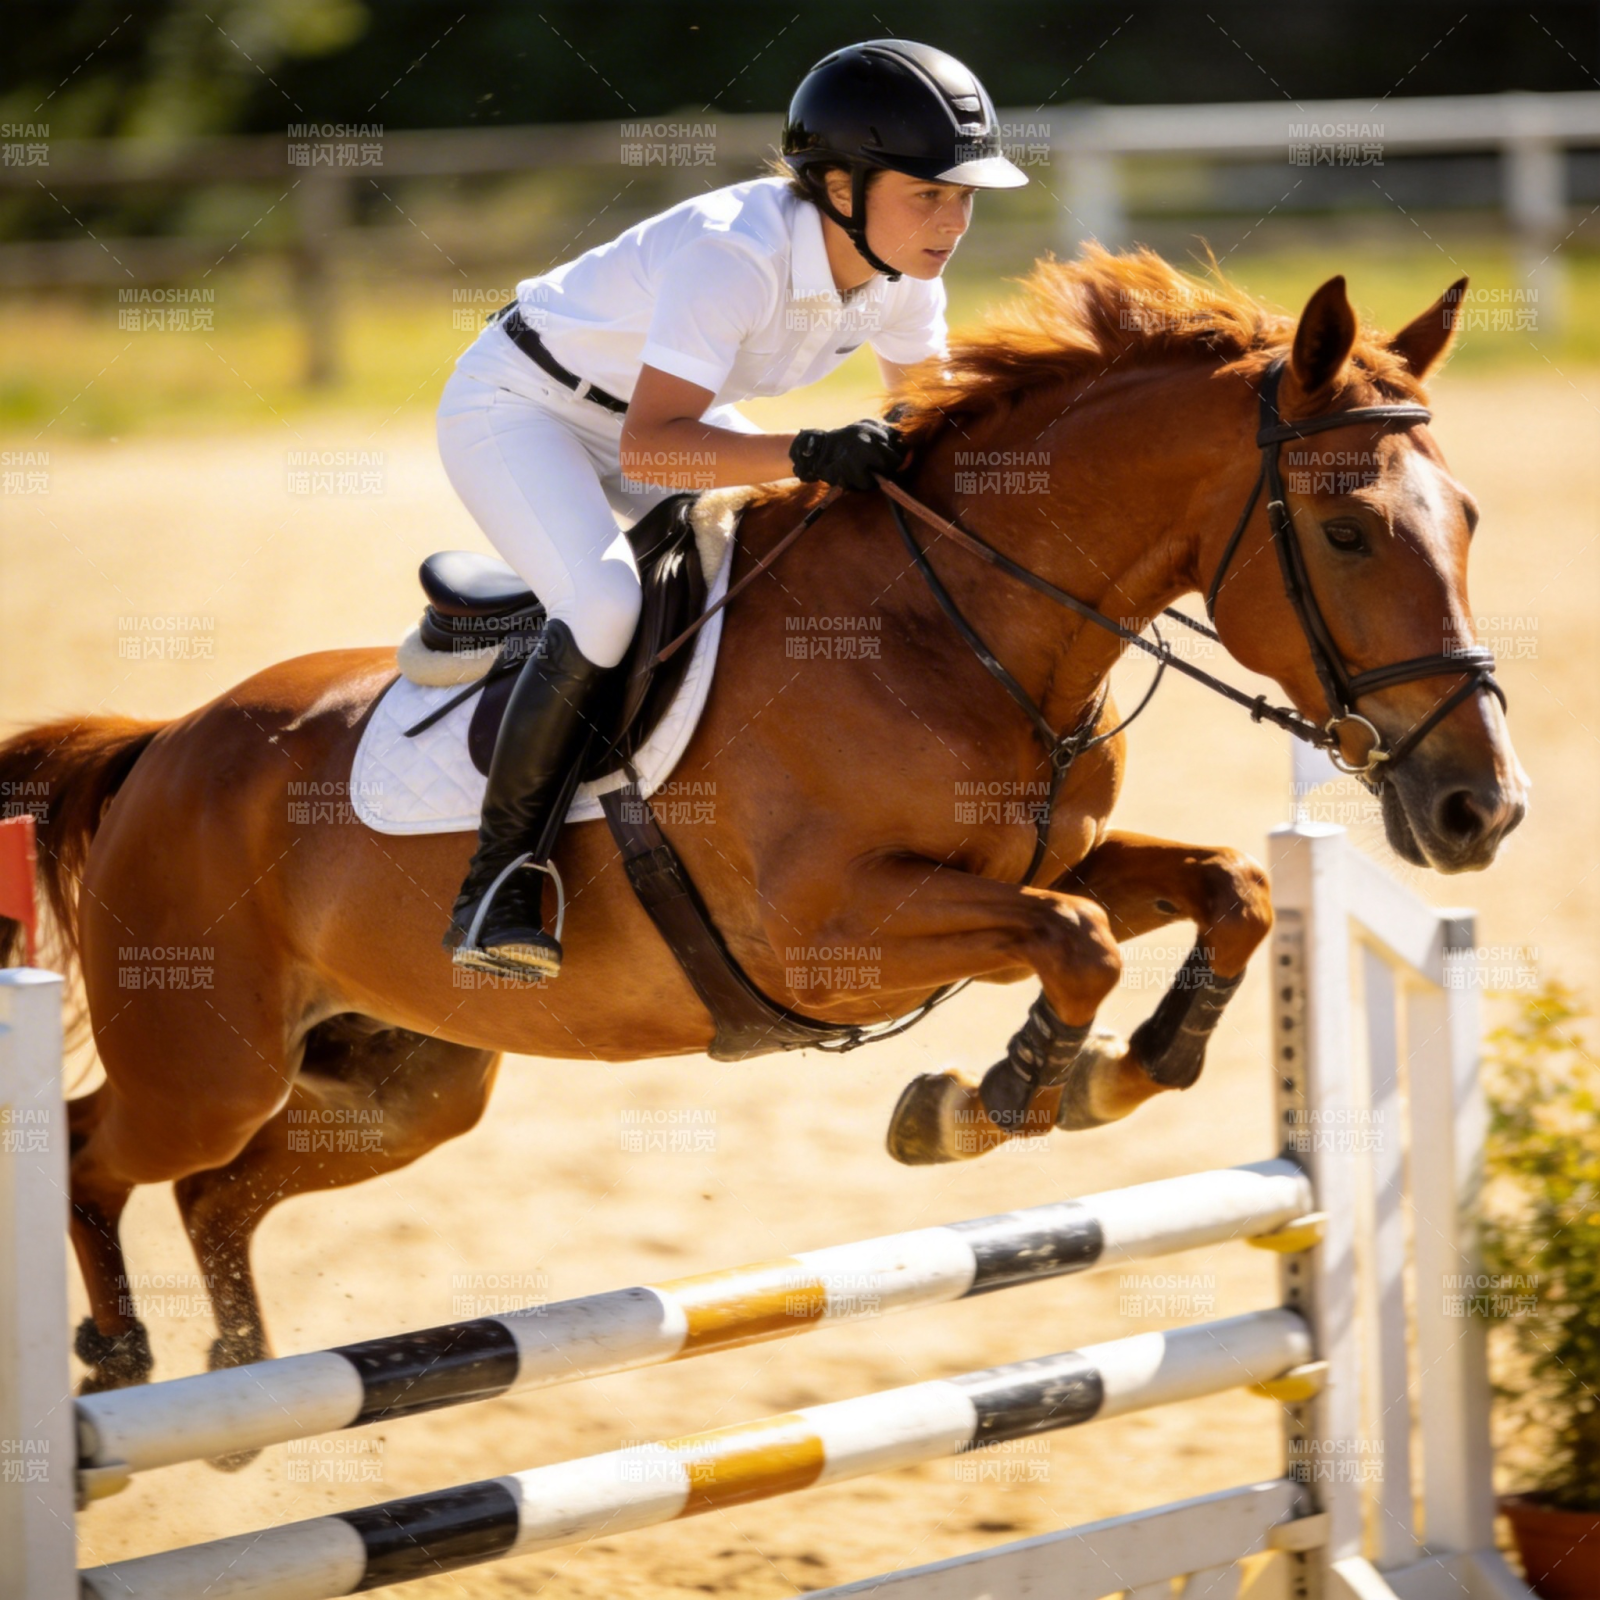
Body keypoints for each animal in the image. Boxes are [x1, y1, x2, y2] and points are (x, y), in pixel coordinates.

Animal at [0, 246, 1525, 1402]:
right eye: (1344, 532)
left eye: (1467, 517)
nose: (1479, 811)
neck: (959, 627)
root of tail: (161, 749)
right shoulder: (827, 937)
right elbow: (1076, 938)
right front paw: (992, 1098)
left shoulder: (1048, 857)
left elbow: (1222, 891)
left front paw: (1126, 1068)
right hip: (206, 1065)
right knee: (92, 1150)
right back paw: (121, 1361)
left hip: (406, 1084)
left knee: (220, 1197)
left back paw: (240, 1384)